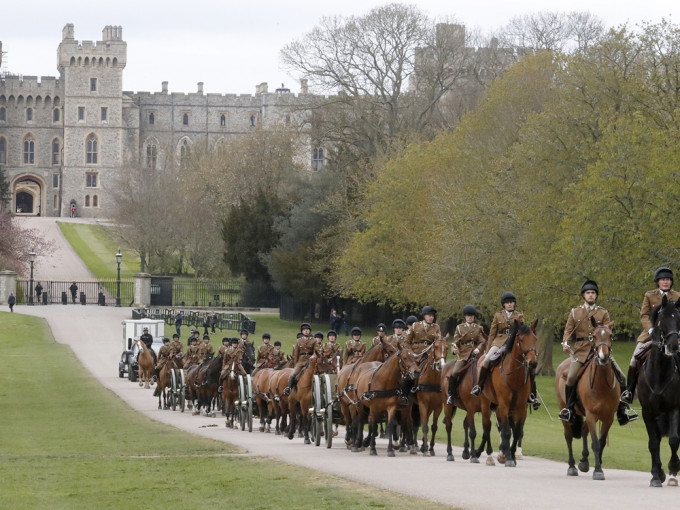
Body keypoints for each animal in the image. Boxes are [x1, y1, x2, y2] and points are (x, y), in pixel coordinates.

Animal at [476, 320, 540, 468]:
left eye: (535, 339)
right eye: (521, 340)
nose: (532, 363)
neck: (514, 375)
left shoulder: (521, 407)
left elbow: (516, 432)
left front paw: (510, 455)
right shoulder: (503, 405)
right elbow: (505, 431)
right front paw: (508, 458)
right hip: (486, 404)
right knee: (487, 427)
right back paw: (486, 455)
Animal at [556, 320, 620, 480]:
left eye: (610, 335)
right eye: (594, 336)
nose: (603, 357)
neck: (602, 383)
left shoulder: (608, 417)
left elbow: (601, 442)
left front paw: (598, 465)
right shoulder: (591, 415)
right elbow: (595, 443)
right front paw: (598, 470)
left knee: (584, 430)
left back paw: (584, 462)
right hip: (565, 411)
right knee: (568, 436)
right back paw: (572, 466)